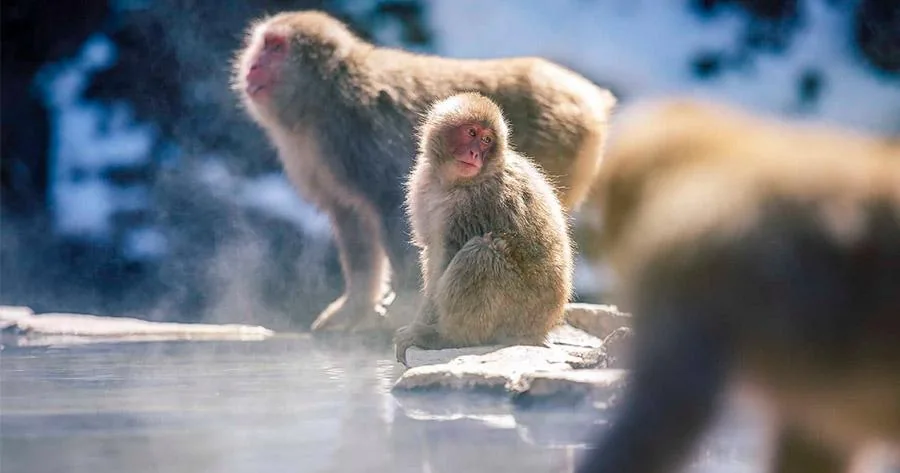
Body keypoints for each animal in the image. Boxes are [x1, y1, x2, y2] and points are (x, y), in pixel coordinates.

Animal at [231, 10, 614, 332]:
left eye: (275, 47)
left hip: (560, 143)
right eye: (262, 45)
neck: (324, 97)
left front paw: (403, 305)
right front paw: (355, 305)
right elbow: (352, 222)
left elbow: (390, 207)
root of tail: (589, 95)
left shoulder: (356, 135)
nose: (253, 67)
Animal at [392, 92, 574, 367]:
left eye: (487, 140)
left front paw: (417, 329)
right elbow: (432, 255)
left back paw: (448, 337)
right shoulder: (422, 186)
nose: (475, 153)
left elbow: (444, 261)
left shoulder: (475, 203)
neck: (453, 184)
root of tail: (543, 327)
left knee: (481, 253)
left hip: (520, 310)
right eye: (471, 132)